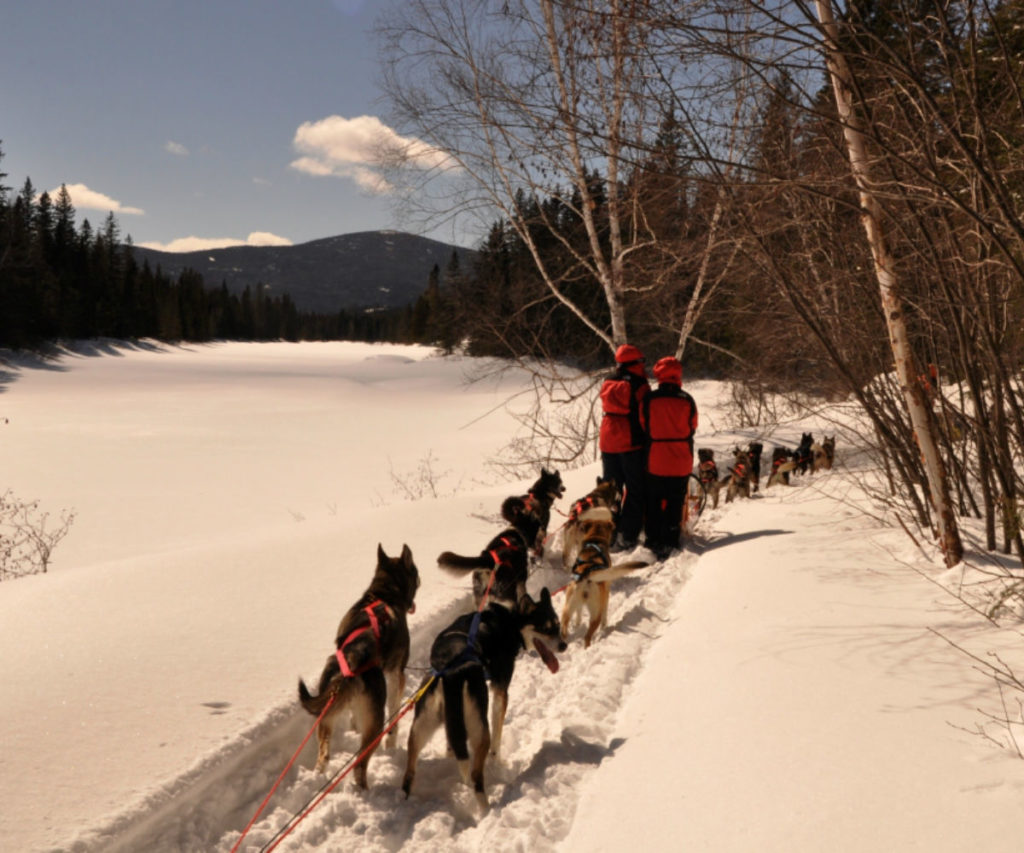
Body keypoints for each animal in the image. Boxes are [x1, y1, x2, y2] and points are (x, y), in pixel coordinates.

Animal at [299, 544, 419, 786]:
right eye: (416, 572)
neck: (383, 594)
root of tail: (353, 657)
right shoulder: (397, 673)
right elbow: (394, 712)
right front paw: (391, 744)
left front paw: (354, 726)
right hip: (374, 724)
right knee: (359, 766)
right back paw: (363, 789)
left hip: (325, 715)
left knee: (323, 757)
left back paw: (319, 775)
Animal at [399, 585, 565, 811]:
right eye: (546, 628)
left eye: (557, 625)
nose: (564, 645)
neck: (510, 620)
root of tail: (449, 670)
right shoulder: (500, 692)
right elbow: (497, 736)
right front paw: (499, 762)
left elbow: (453, 744)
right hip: (480, 730)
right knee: (476, 776)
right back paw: (487, 810)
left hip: (420, 729)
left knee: (409, 775)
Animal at [561, 505, 647, 647]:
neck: (595, 540)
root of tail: (586, 576)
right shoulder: (606, 592)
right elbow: (605, 612)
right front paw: (605, 626)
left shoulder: (577, 605)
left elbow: (579, 613)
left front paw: (578, 623)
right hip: (596, 612)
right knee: (588, 636)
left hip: (568, 608)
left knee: (564, 629)